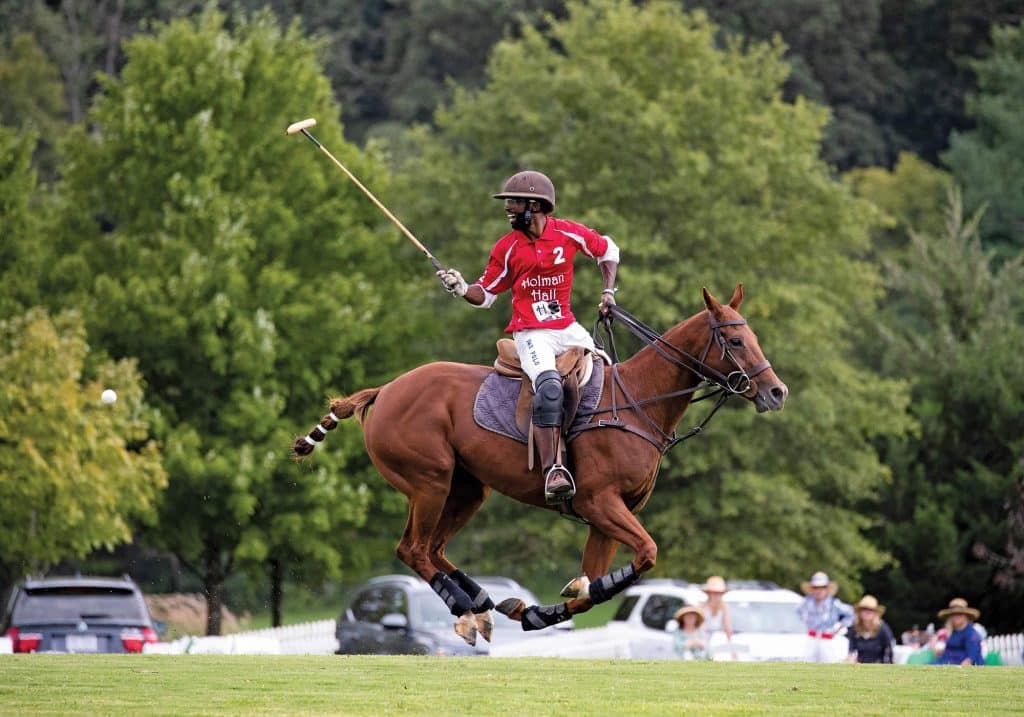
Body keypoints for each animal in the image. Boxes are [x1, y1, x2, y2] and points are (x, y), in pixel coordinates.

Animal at [292, 284, 786, 643]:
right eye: (736, 340)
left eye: (755, 338)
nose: (777, 392)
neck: (636, 402)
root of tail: (385, 390)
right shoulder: (599, 503)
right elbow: (646, 553)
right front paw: (550, 605)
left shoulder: (606, 517)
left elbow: (592, 586)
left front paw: (540, 612)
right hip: (429, 481)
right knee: (412, 549)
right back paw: (467, 612)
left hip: (467, 489)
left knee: (432, 549)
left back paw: (486, 603)